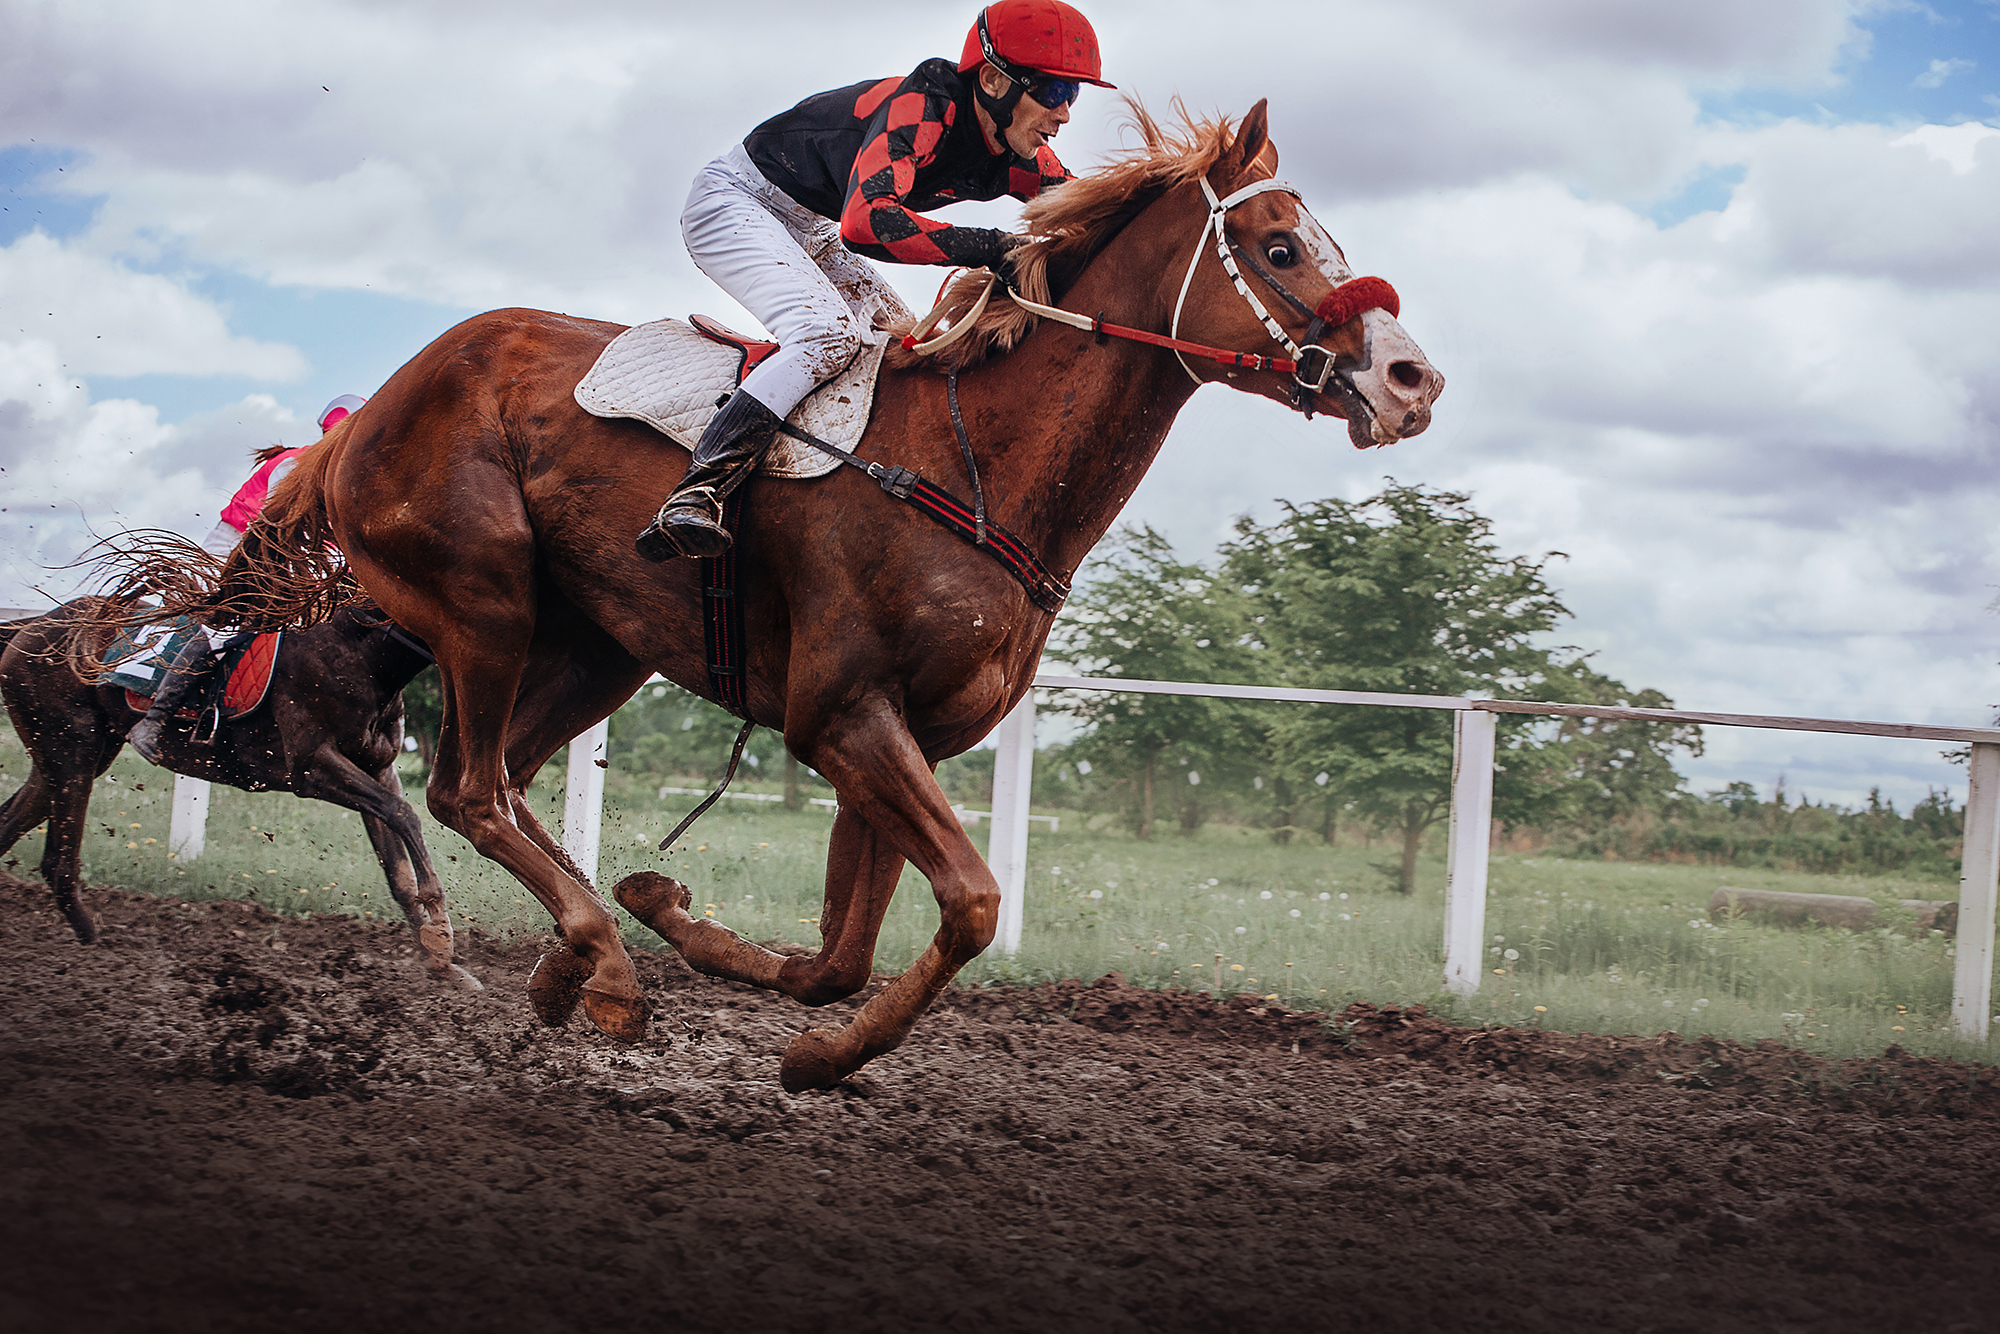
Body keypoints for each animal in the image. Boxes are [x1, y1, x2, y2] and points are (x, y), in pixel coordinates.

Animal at [1, 600, 478, 988]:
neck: (360, 652)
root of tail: (31, 625)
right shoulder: (312, 767)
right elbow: (405, 815)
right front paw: (441, 932)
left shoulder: (377, 769)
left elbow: (397, 867)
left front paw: (440, 963)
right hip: (72, 751)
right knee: (59, 862)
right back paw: (92, 940)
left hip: (68, 758)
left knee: (13, 826)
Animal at [121, 102, 1440, 1088]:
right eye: (1278, 245)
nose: (1409, 378)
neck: (977, 459)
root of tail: (361, 421)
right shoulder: (841, 713)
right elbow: (970, 902)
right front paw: (810, 1051)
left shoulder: (905, 734)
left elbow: (842, 952)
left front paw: (688, 922)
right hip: (482, 600)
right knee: (464, 786)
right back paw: (601, 963)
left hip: (595, 645)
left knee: (491, 782)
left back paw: (579, 954)